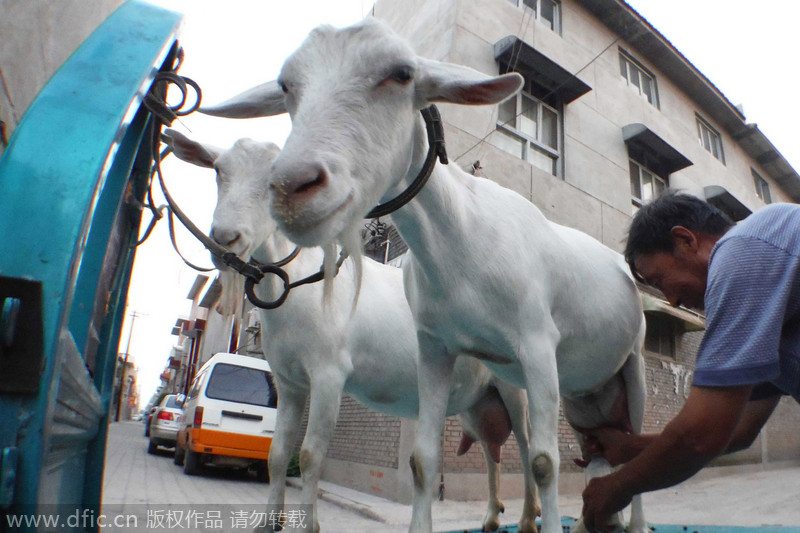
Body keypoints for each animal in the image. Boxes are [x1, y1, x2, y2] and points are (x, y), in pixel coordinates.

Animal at [164, 130, 536, 532]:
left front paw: (308, 525)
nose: (225, 238)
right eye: (219, 171)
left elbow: (310, 455)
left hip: (512, 388)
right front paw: (268, 522)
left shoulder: (329, 372)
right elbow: (278, 453)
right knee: (490, 448)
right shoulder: (288, 381)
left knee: (527, 446)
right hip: (475, 399)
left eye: (273, 179)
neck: (300, 282)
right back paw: (492, 515)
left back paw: (529, 516)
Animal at [202, 17, 648, 533]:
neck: (463, 238)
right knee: (520, 449)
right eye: (287, 87)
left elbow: (543, 462)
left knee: (597, 444)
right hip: (524, 395)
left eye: (401, 74)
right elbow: (407, 460)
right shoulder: (424, 350)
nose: (294, 188)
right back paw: (506, 517)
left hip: (604, 366)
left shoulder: (534, 343)